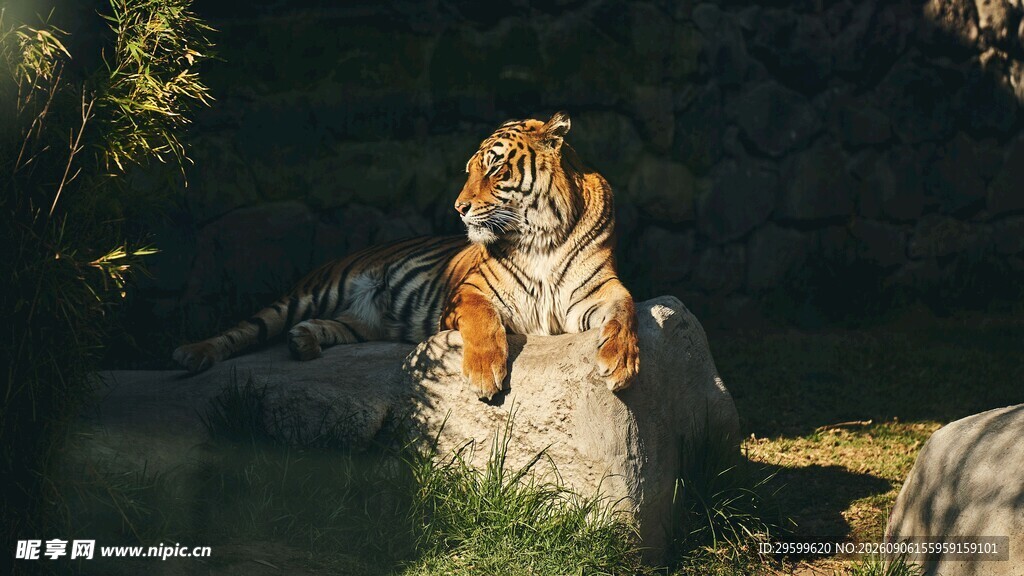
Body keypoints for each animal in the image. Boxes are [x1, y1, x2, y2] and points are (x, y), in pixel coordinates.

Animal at [173, 111, 639, 400]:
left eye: (494, 168)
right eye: (469, 170)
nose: (459, 207)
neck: (541, 236)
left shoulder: (597, 292)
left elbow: (626, 310)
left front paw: (620, 362)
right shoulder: (467, 294)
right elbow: (484, 321)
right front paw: (484, 373)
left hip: (362, 322)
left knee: (337, 328)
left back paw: (303, 341)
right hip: (310, 293)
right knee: (244, 329)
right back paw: (193, 354)